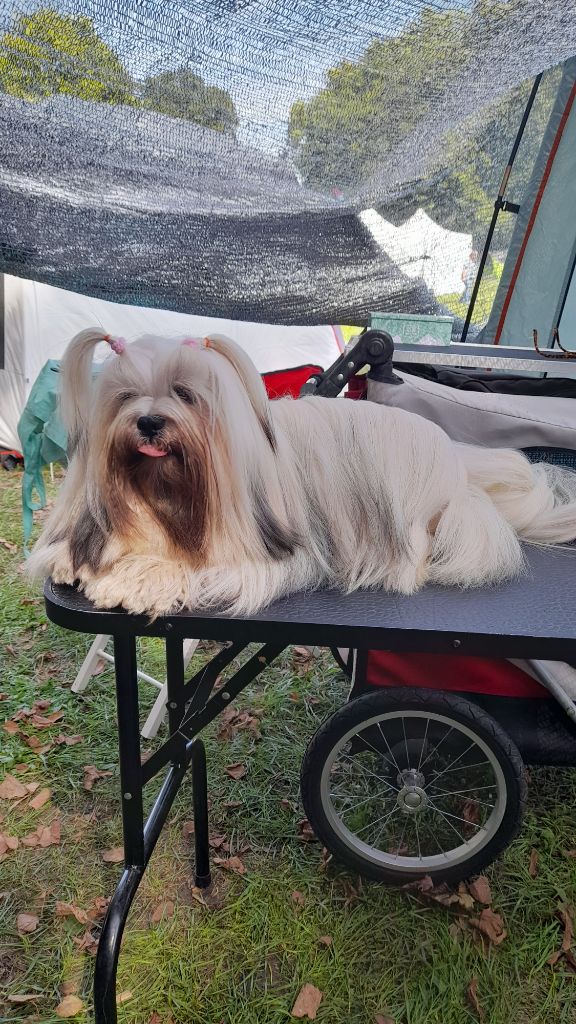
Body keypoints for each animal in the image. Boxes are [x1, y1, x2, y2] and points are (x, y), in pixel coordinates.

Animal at [28, 328, 576, 618]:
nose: (147, 421)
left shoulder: (254, 558)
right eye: (125, 397)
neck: (172, 495)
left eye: (184, 394)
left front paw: (139, 577)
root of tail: (456, 461)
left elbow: (188, 567)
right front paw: (76, 557)